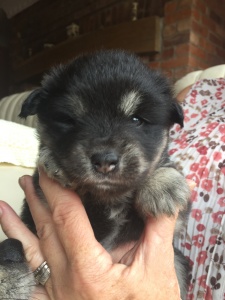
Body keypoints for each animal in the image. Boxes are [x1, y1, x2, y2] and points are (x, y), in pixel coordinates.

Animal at [5, 50, 190, 298]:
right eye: (69, 120)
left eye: (136, 120)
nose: (104, 161)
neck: (107, 198)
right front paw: (53, 160)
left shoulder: (175, 229)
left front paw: (163, 185)